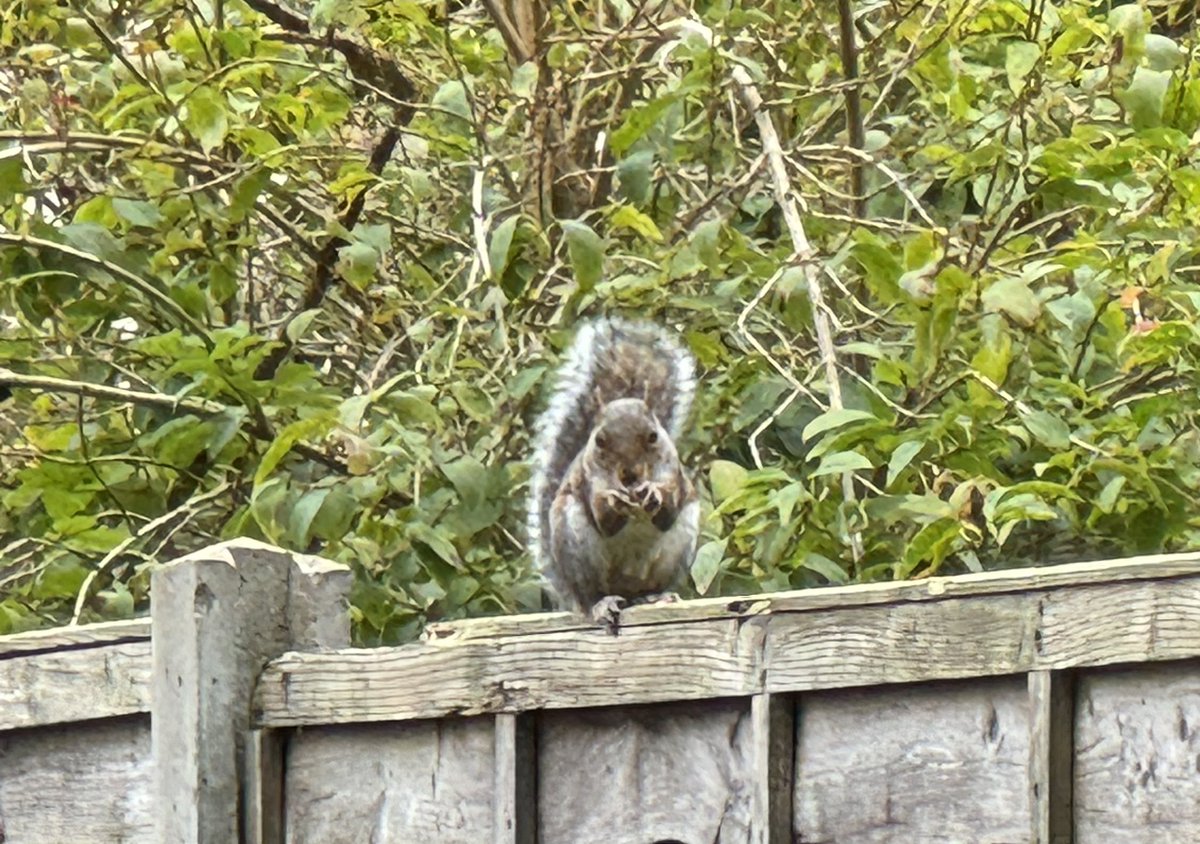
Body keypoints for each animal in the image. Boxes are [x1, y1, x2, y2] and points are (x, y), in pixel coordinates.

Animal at [528, 316, 700, 626]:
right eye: (599, 440)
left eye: (654, 436)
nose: (629, 476)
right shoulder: (590, 478)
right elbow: (602, 518)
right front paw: (614, 500)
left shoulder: (672, 472)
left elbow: (668, 510)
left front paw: (654, 493)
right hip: (575, 546)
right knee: (590, 595)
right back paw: (601, 603)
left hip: (679, 548)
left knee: (644, 591)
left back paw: (656, 597)